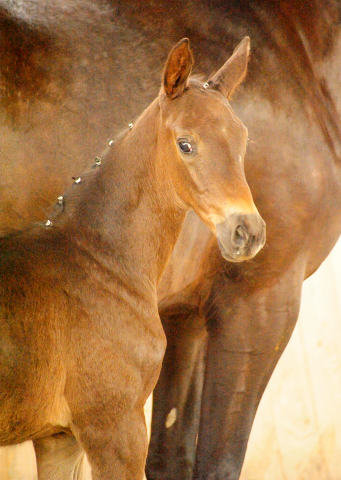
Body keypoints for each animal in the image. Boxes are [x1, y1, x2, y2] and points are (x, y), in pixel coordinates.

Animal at [1, 0, 340, 480]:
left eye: (243, 138)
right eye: (185, 144)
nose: (248, 232)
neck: (92, 260)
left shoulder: (183, 320)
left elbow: (172, 455)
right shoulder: (258, 304)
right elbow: (217, 461)